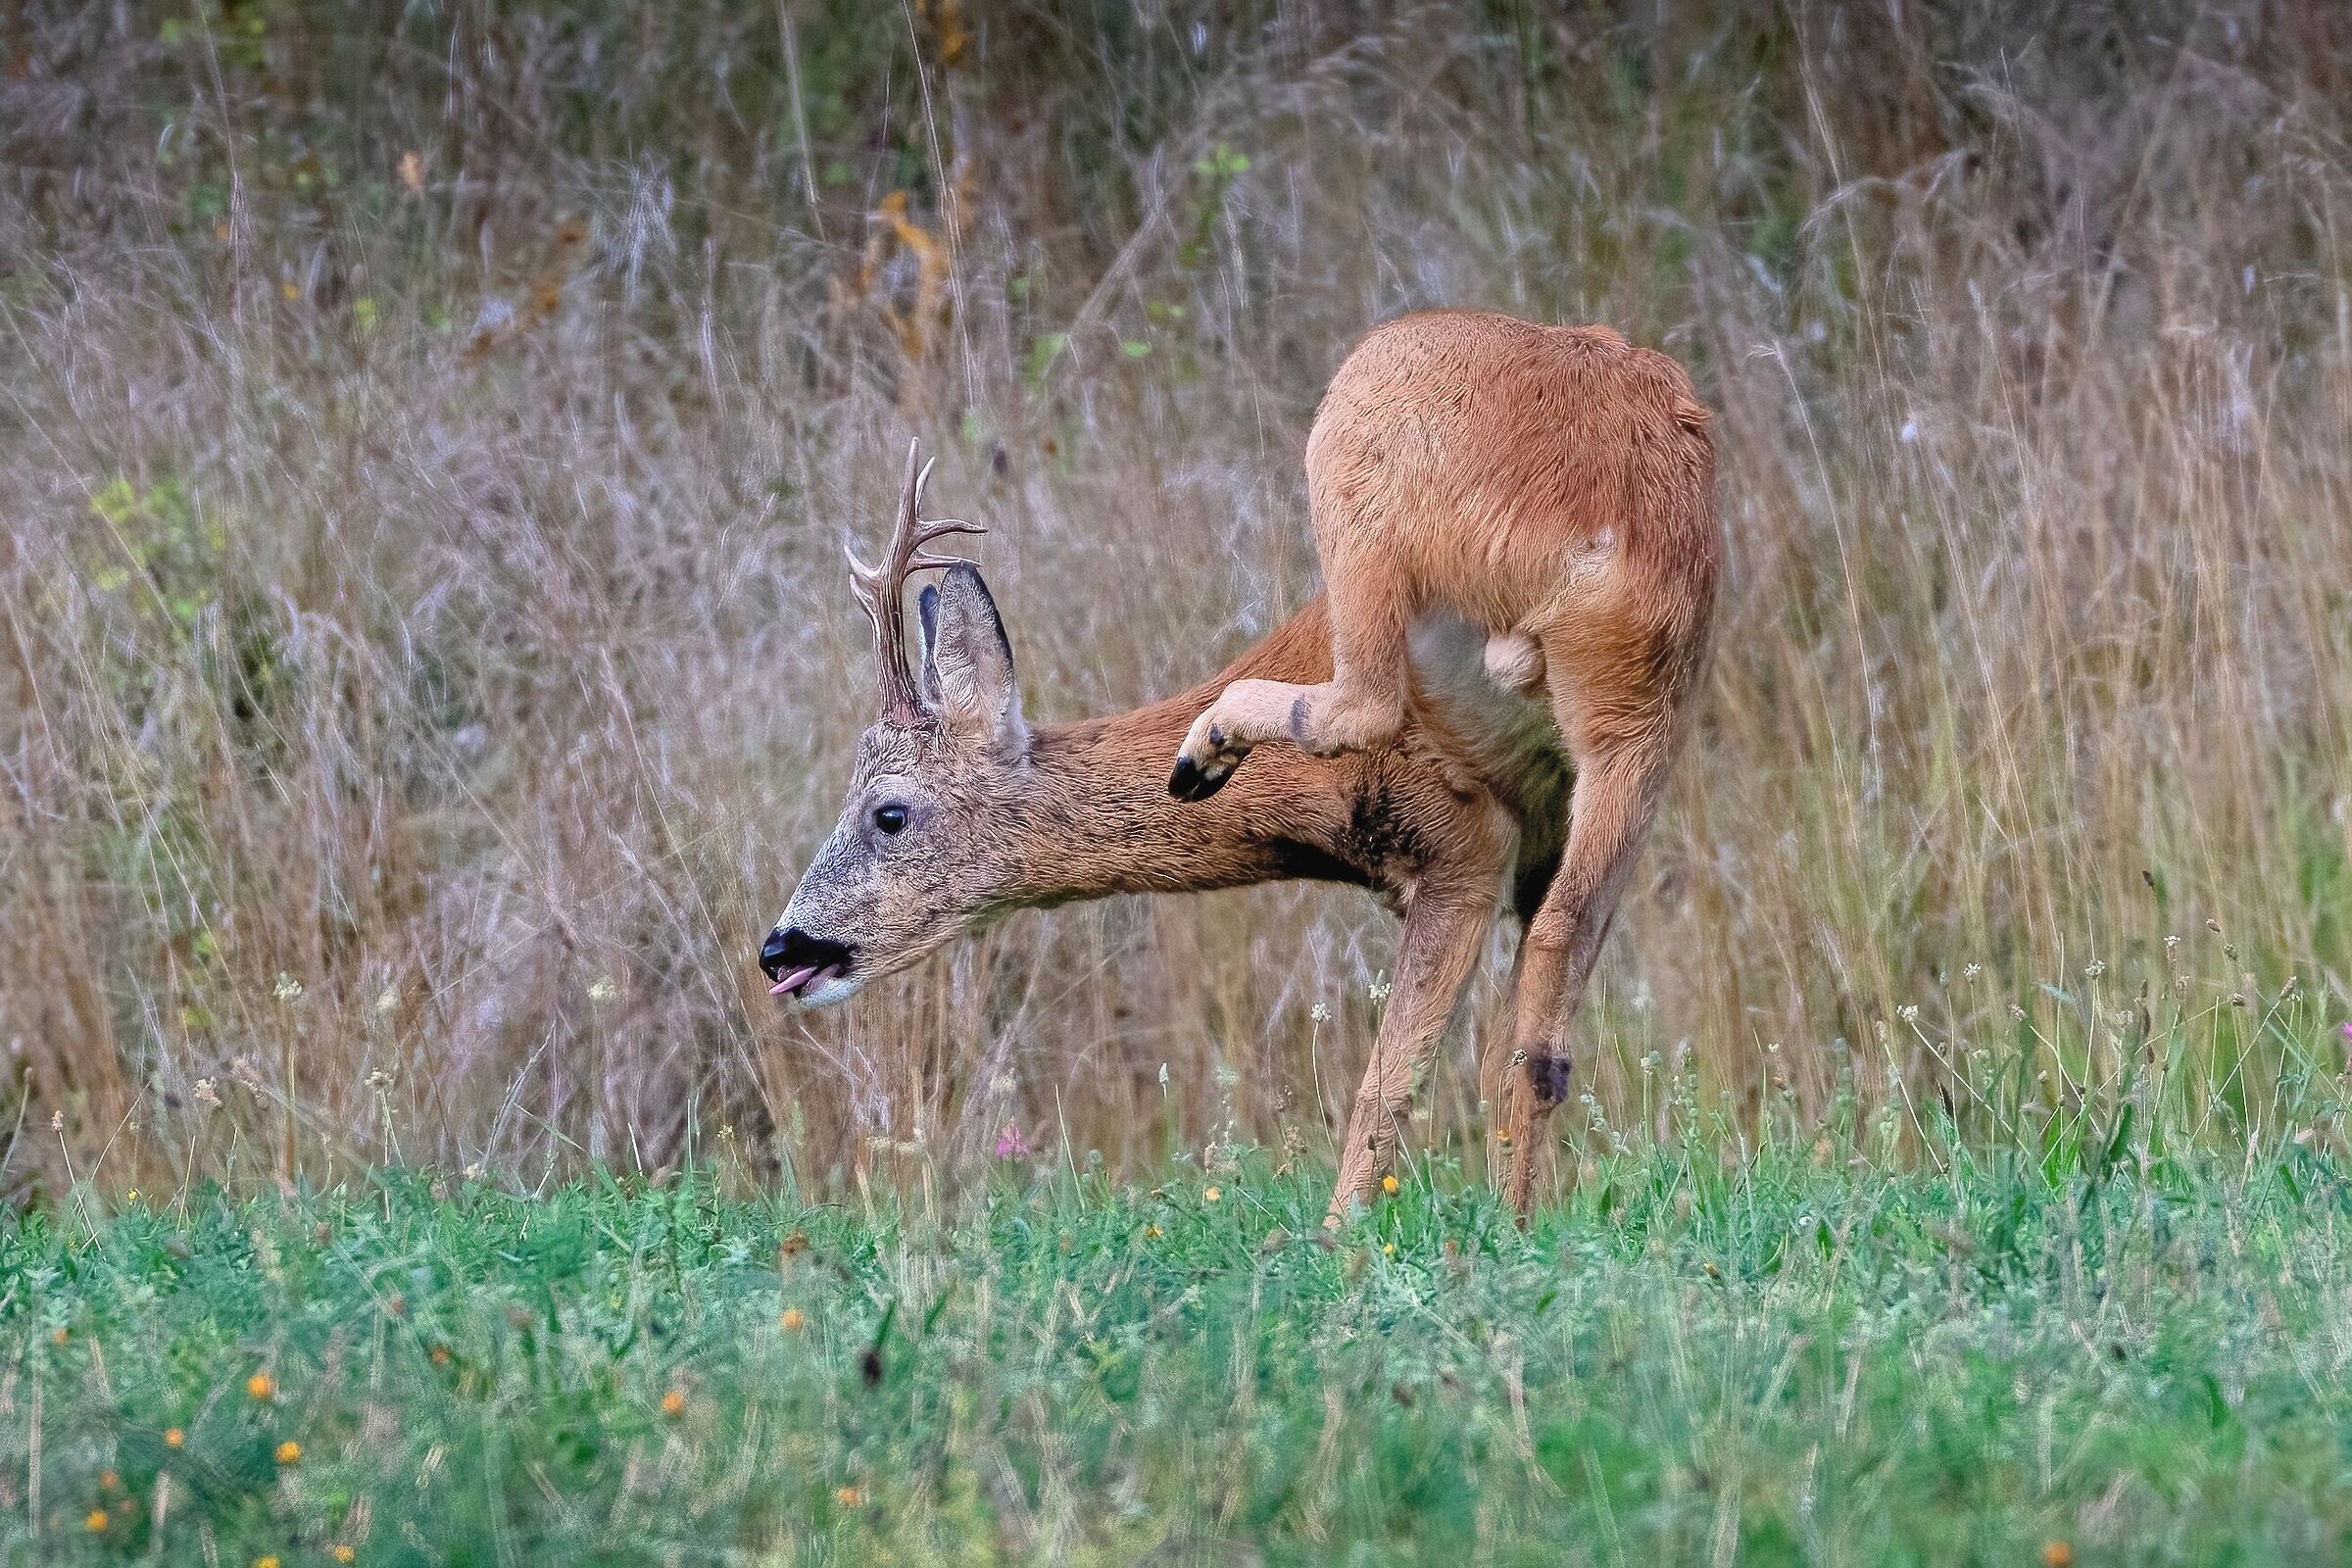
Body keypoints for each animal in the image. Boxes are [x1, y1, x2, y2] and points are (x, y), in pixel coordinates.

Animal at [762, 310, 1717, 1222]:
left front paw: (1344, 1237)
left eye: (888, 813)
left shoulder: (1462, 849)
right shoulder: (1528, 843)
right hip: (1644, 721)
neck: (1304, 824)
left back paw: (1206, 745)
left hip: (1357, 439)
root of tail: (1627, 508)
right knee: (1560, 965)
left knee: (1369, 698)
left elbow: (1390, 1082)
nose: (780, 949)